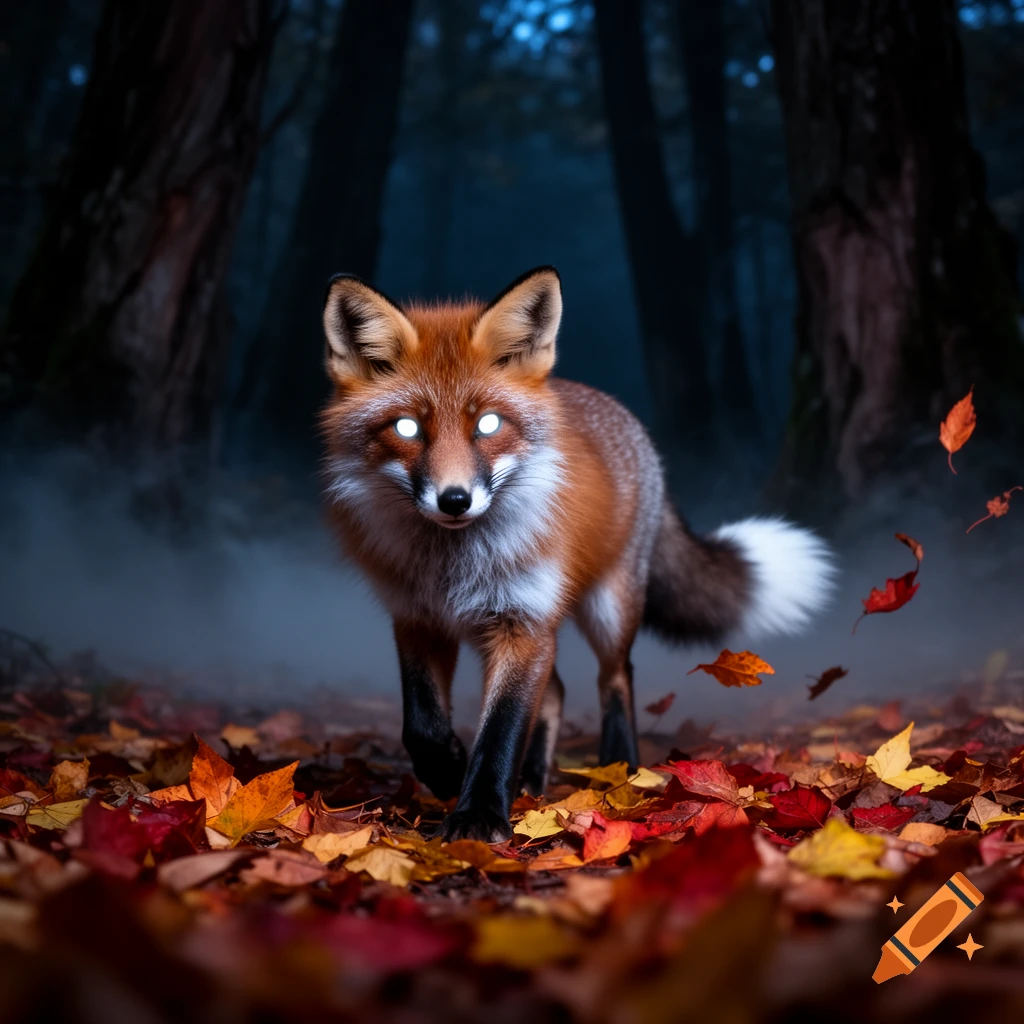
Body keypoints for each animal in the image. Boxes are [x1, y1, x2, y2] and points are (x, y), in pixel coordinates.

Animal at [319, 266, 836, 844]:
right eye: (407, 427)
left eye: (488, 424)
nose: (455, 500)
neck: (451, 566)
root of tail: (618, 414)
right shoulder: (417, 617)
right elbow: (424, 726)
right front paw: (451, 772)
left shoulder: (523, 621)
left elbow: (500, 730)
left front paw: (478, 816)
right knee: (558, 691)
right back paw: (531, 781)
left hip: (608, 608)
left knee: (615, 678)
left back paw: (621, 769)